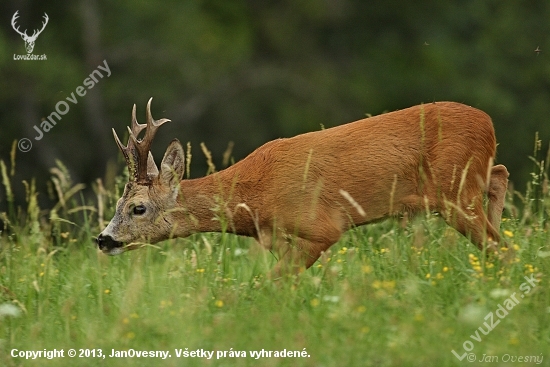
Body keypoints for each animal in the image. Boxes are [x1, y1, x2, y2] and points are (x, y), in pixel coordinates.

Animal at [97, 98, 512, 276]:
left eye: (137, 207)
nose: (103, 239)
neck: (253, 196)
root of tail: (489, 123)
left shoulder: (322, 226)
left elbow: (273, 282)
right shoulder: (275, 237)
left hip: (455, 191)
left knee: (497, 244)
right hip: (465, 185)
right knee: (500, 176)